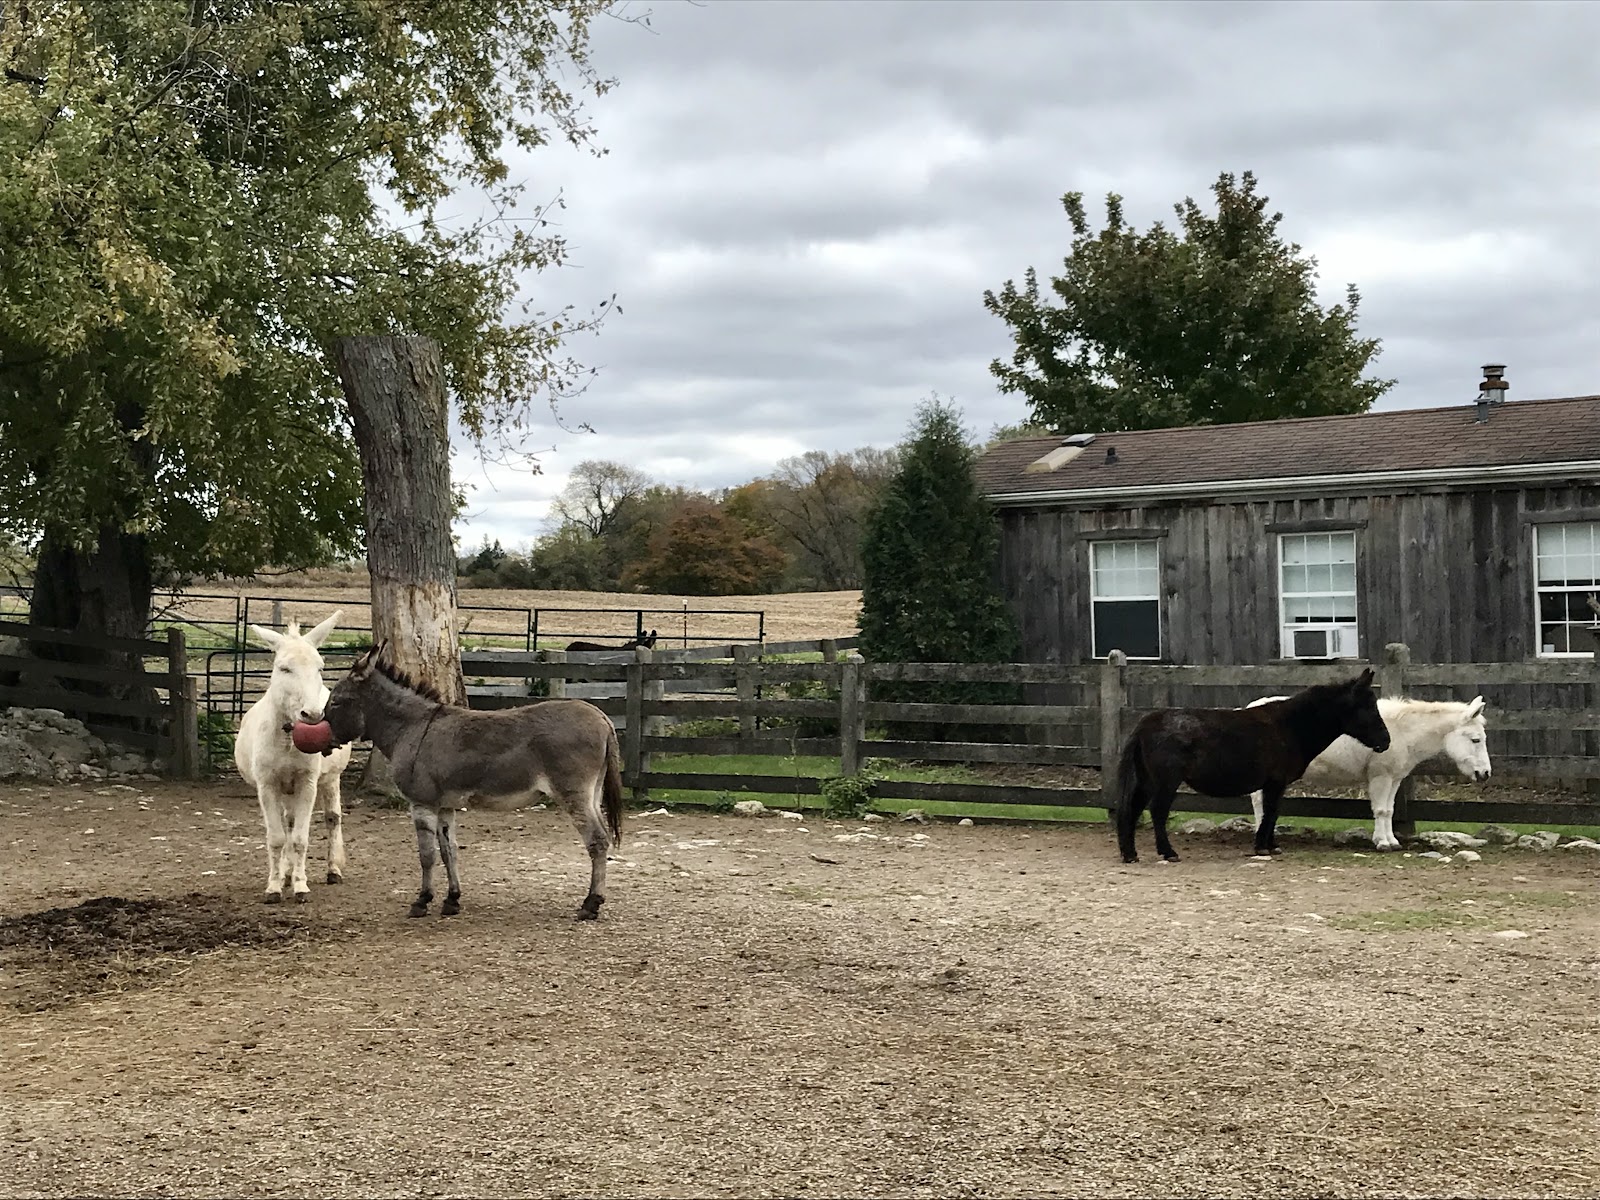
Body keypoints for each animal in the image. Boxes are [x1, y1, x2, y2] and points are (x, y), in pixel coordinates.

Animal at [233, 620, 353, 902]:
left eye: (320, 667)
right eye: (284, 668)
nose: (313, 715)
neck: (288, 738)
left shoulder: (306, 783)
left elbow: (300, 838)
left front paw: (300, 887)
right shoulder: (267, 785)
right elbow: (277, 837)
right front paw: (275, 886)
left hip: (331, 779)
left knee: (332, 818)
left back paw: (333, 870)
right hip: (285, 790)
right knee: (288, 821)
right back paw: (286, 873)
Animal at [1113, 678, 1388, 864]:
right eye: (1366, 708)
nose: (1386, 742)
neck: (1291, 726)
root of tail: (1145, 724)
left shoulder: (1274, 784)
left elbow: (1272, 813)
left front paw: (1271, 845)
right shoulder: (1276, 781)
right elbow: (1271, 812)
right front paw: (1263, 847)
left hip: (1147, 780)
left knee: (1133, 810)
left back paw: (1130, 854)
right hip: (1166, 781)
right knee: (1157, 812)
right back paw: (1168, 853)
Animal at [1241, 694, 1491, 857]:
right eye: (1475, 739)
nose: (1485, 774)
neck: (1403, 731)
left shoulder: (1394, 778)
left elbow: (1389, 810)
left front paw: (1391, 841)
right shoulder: (1381, 776)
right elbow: (1380, 810)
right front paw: (1382, 844)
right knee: (1259, 803)